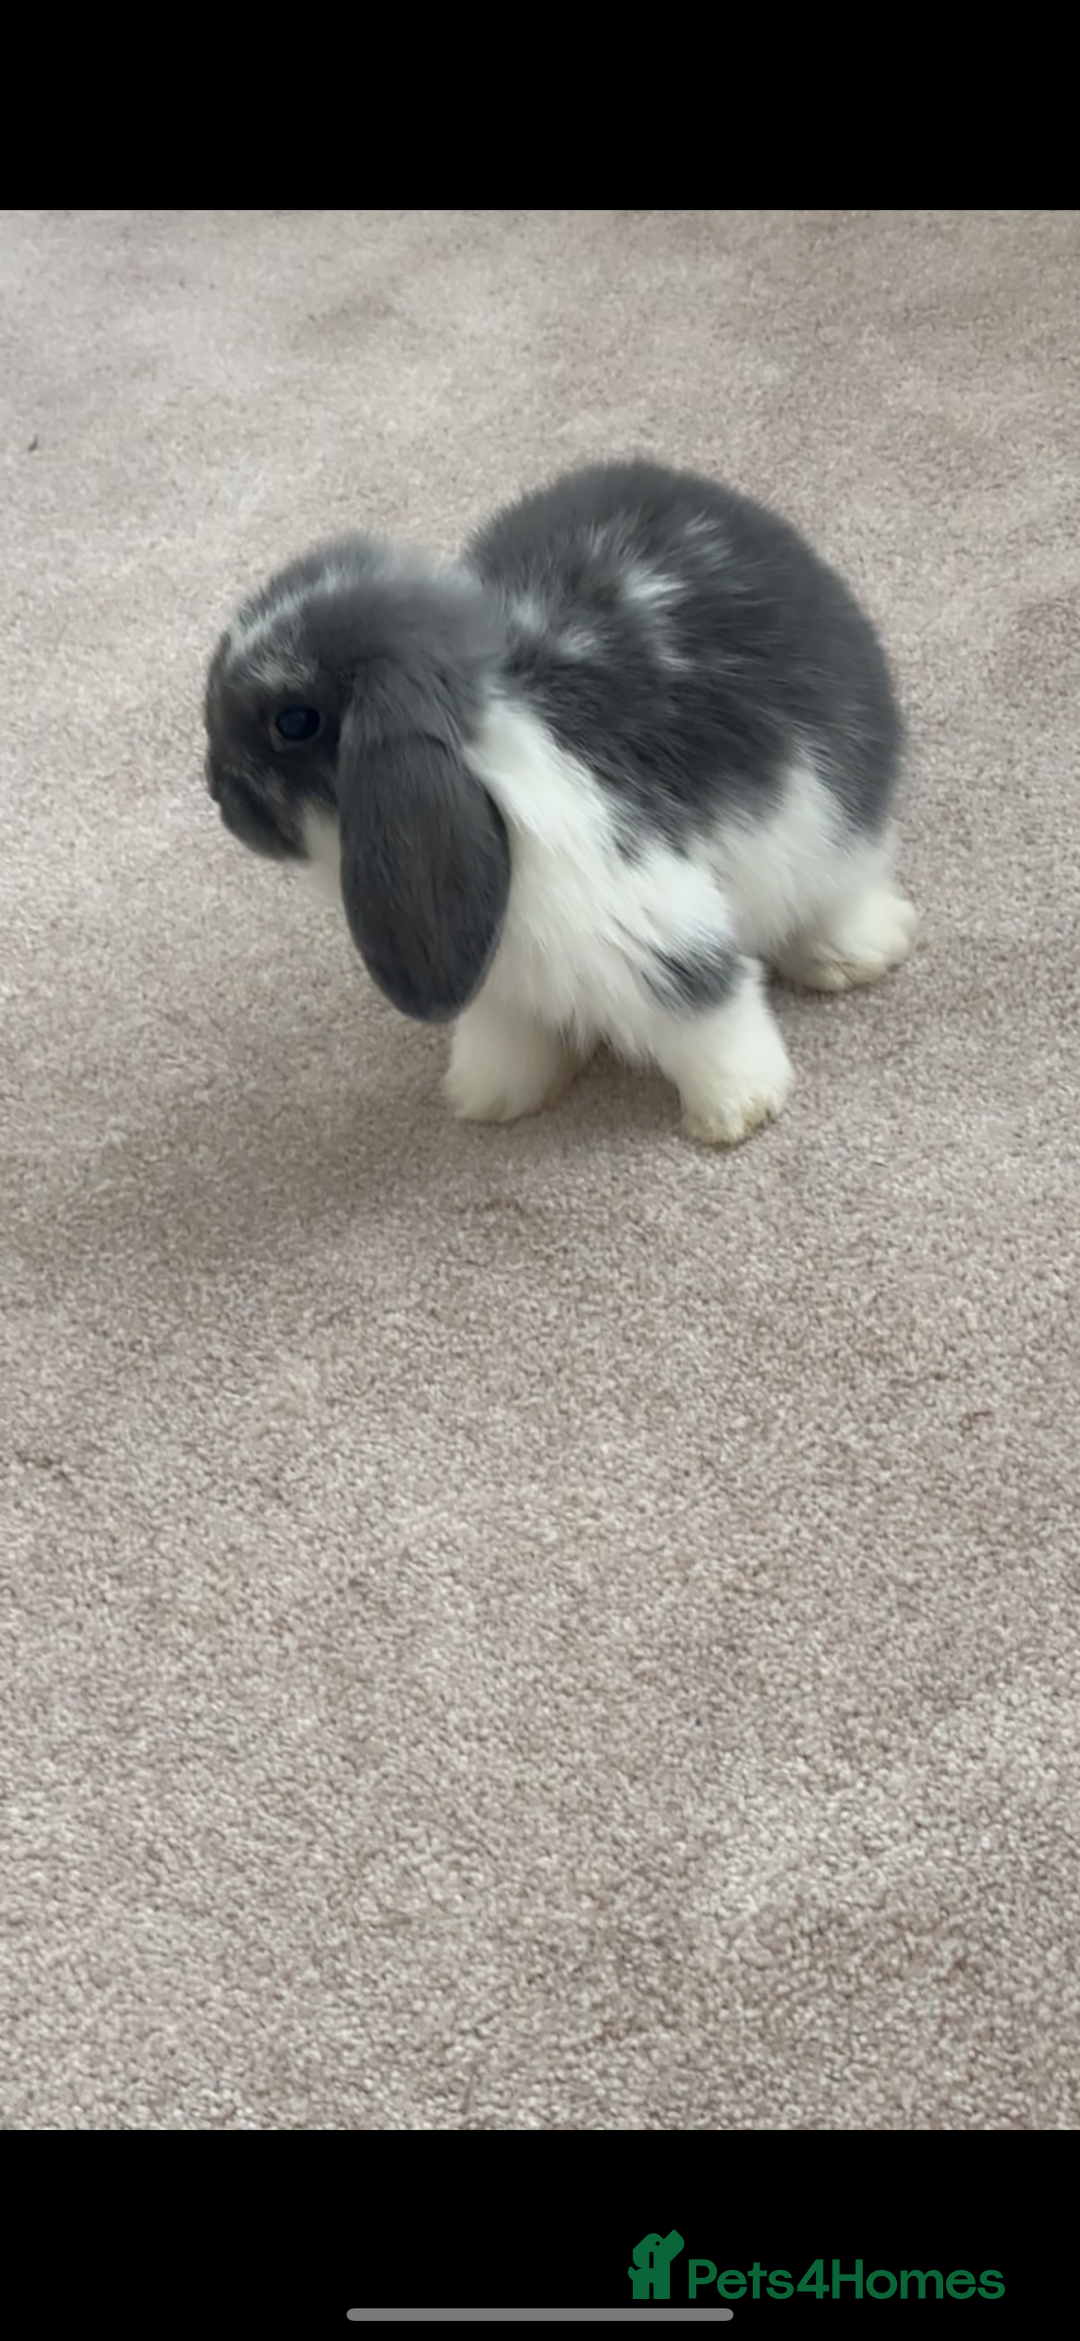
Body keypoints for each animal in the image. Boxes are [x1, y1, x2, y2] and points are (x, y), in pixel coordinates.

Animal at [204, 459, 915, 1145]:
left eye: (294, 722)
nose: (219, 794)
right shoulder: (496, 978)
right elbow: (505, 1040)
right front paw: (489, 1099)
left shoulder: (651, 929)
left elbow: (705, 1014)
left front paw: (737, 1110)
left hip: (829, 826)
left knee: (838, 897)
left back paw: (854, 957)